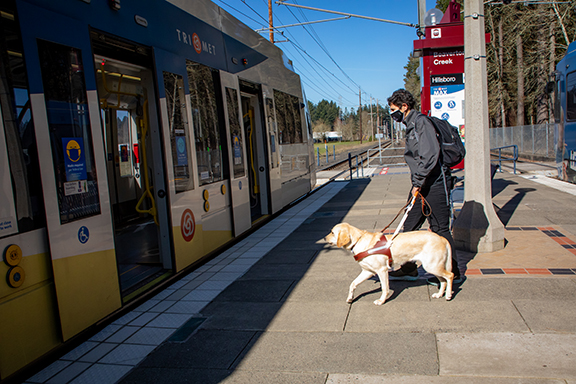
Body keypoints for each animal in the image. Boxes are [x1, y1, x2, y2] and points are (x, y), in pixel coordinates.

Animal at [324, 222, 454, 306]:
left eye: (332, 232)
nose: (324, 238)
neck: (359, 241)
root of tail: (441, 237)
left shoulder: (382, 270)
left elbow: (385, 288)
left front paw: (381, 301)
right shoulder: (367, 272)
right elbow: (353, 284)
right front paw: (350, 298)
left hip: (432, 266)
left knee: (450, 276)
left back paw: (448, 295)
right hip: (433, 267)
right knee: (443, 280)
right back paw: (440, 294)